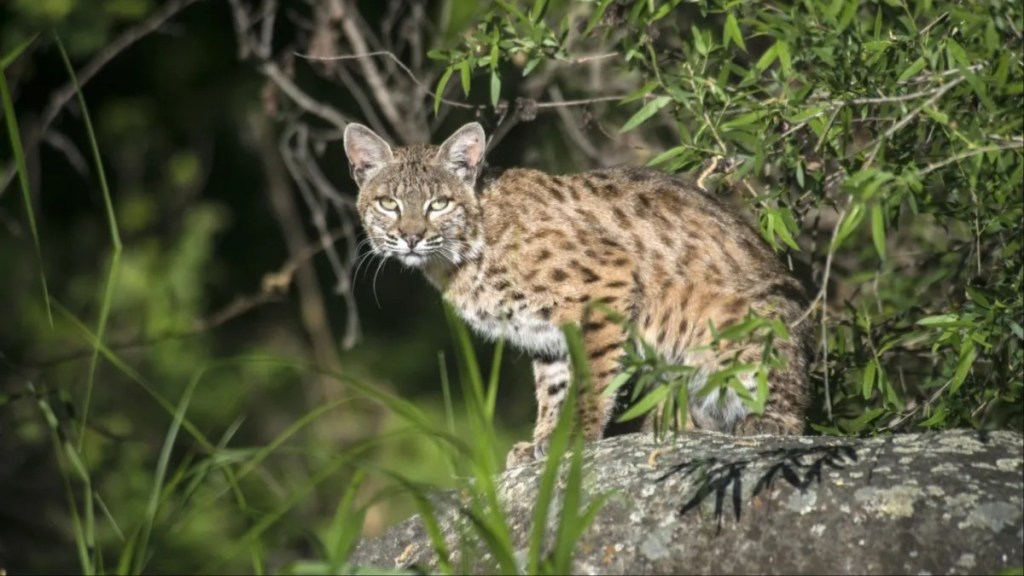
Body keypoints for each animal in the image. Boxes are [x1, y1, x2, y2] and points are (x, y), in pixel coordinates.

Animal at [344, 121, 806, 467]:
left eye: (439, 204)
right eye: (388, 203)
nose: (411, 237)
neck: (464, 249)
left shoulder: (608, 282)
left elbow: (593, 374)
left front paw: (578, 437)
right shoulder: (544, 330)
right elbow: (554, 387)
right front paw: (543, 441)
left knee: (791, 409)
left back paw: (764, 422)